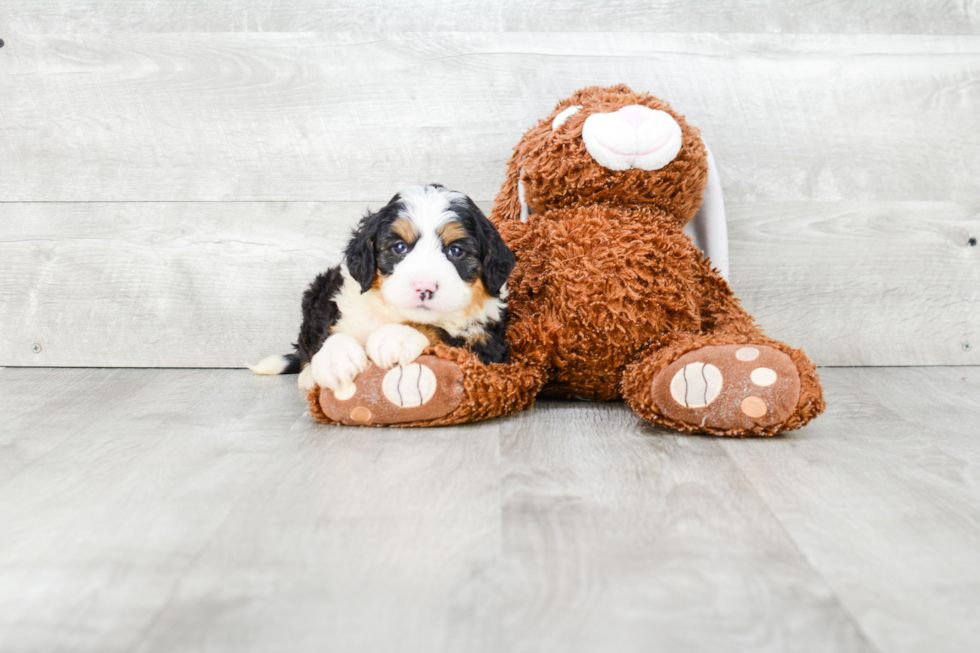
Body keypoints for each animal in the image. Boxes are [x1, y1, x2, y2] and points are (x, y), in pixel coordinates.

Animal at [249, 183, 516, 392]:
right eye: (399, 247)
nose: (424, 287)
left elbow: (444, 333)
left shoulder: (488, 345)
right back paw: (307, 374)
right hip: (318, 291)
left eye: (456, 251)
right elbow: (332, 332)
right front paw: (335, 359)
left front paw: (397, 336)